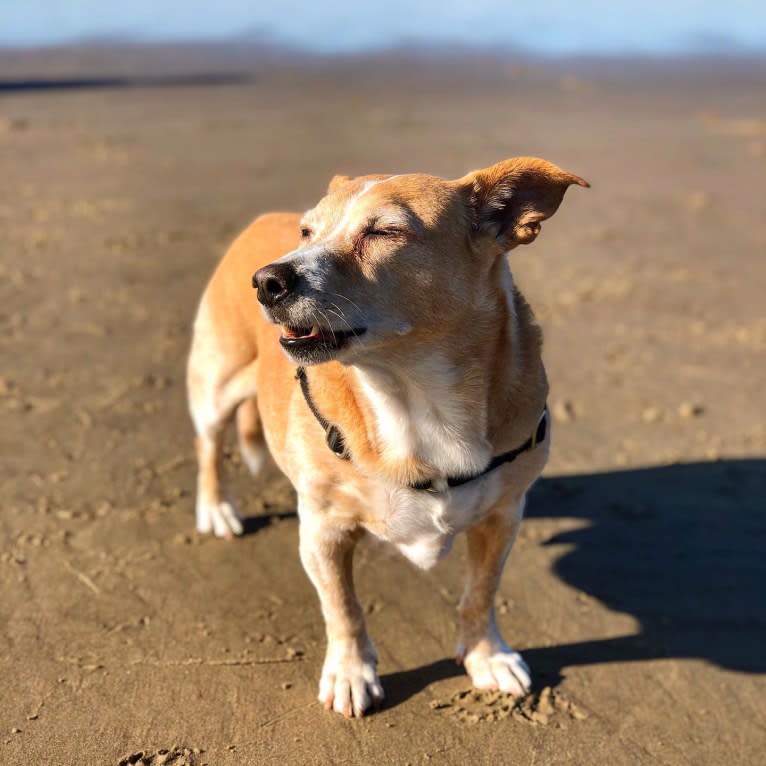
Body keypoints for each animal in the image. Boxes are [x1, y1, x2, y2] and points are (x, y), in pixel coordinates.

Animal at [186, 158, 588, 720]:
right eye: (307, 233)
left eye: (384, 232)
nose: (267, 280)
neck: (411, 394)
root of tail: (263, 217)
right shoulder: (324, 530)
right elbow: (343, 607)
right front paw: (351, 673)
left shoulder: (503, 516)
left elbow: (480, 592)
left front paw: (487, 656)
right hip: (215, 383)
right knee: (208, 445)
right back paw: (217, 507)